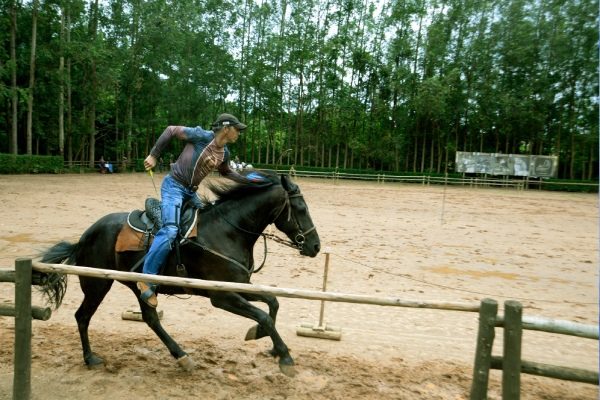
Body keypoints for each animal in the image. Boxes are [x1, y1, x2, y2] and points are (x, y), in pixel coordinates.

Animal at [39, 172, 322, 376]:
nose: (316, 246)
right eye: (301, 208)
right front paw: (284, 356)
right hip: (97, 285)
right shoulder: (222, 297)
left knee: (150, 319)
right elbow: (264, 315)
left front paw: (264, 339)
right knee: (83, 316)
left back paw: (182, 357)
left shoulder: (241, 286)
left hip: (139, 287)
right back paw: (90, 358)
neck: (226, 231)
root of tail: (84, 237)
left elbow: (273, 303)